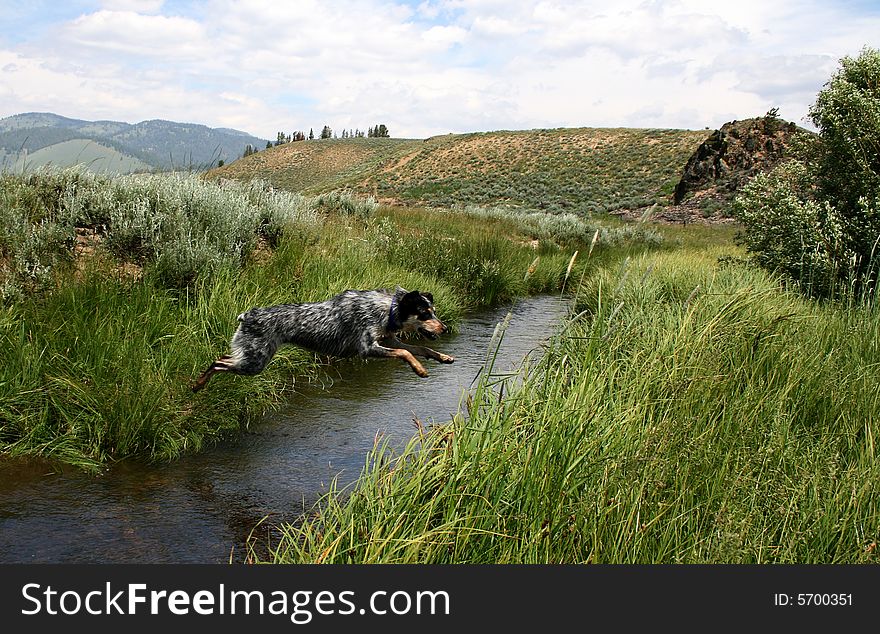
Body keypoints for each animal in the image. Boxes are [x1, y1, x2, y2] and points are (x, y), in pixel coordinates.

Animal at [192, 288, 454, 390]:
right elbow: (407, 353)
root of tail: (247, 315)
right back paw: (198, 384)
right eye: (425, 313)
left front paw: (442, 356)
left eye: (434, 311)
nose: (445, 328)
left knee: (223, 358)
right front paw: (420, 370)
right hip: (254, 363)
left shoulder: (390, 340)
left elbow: (420, 348)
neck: (385, 310)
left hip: (250, 357)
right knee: (217, 362)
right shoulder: (368, 348)